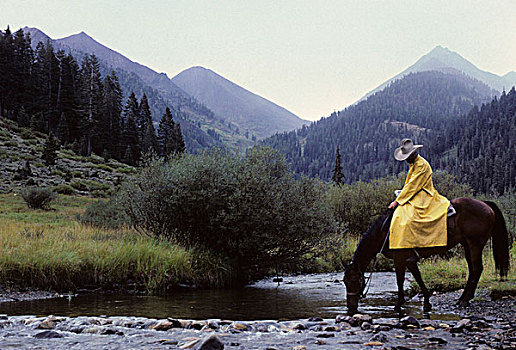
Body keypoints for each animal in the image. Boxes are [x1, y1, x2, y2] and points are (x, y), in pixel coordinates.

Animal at [344, 198, 510, 316]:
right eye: (344, 282)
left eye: (353, 281)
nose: (350, 307)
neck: (386, 230)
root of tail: (486, 205)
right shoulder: (406, 259)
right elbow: (412, 277)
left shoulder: (401, 258)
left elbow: (402, 280)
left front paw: (404, 304)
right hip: (467, 245)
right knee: (472, 270)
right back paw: (463, 299)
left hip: (475, 244)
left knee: (476, 268)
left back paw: (464, 300)